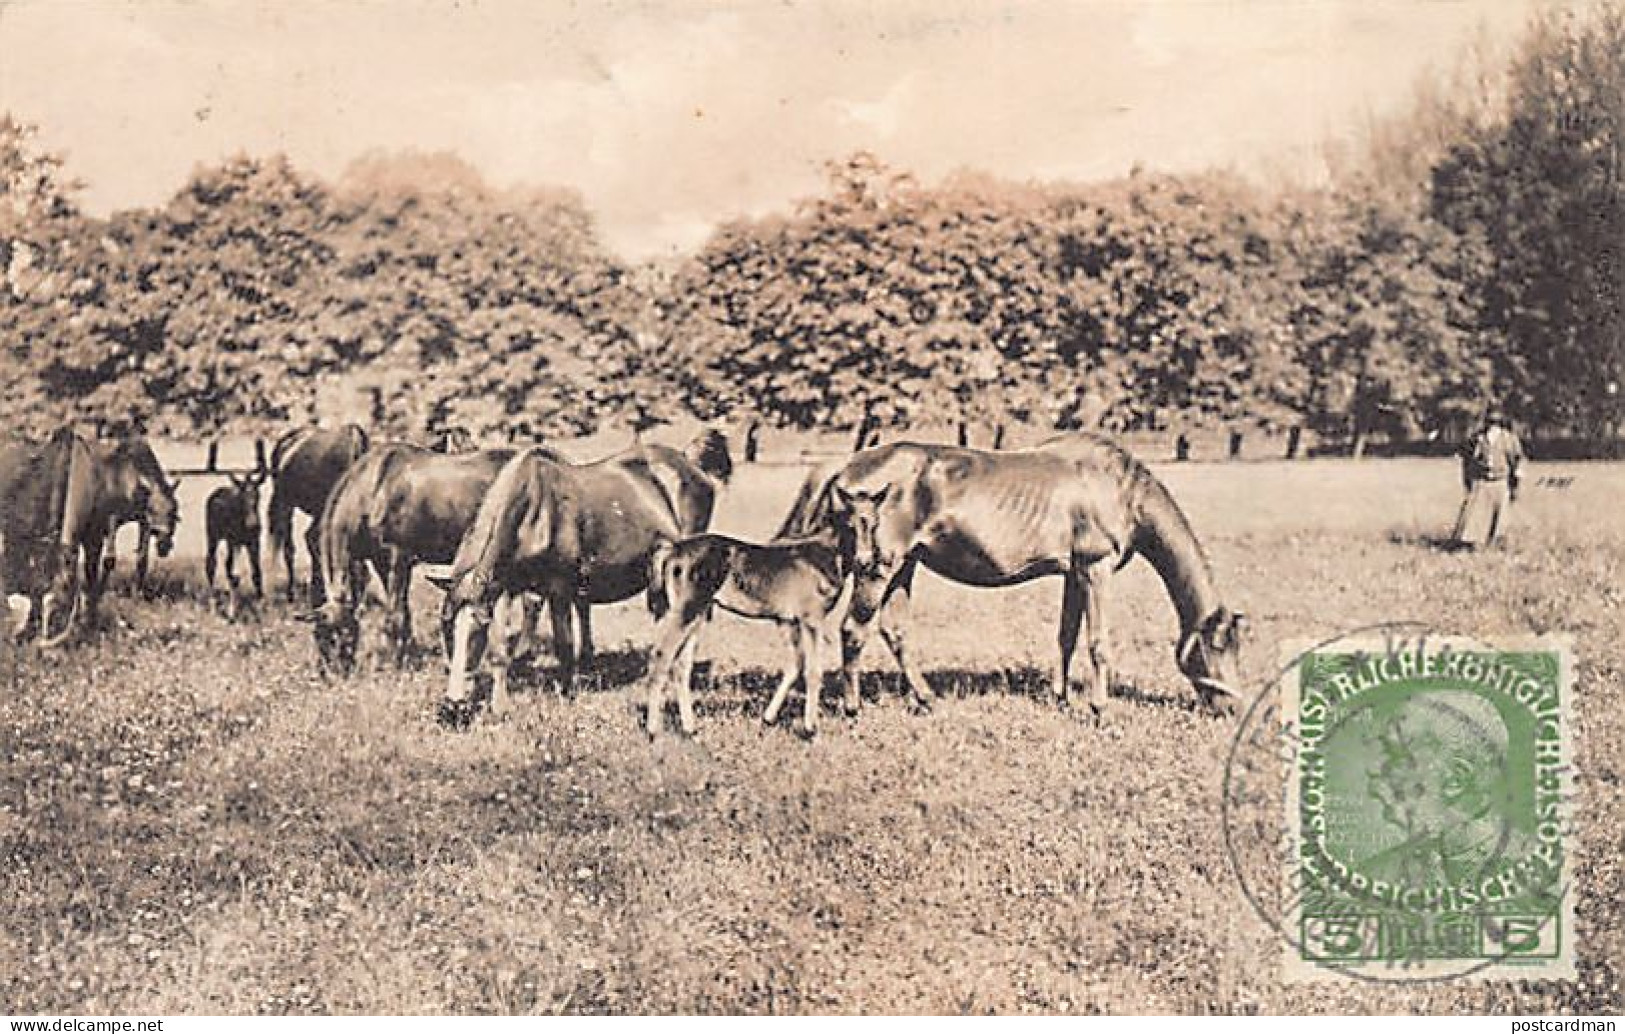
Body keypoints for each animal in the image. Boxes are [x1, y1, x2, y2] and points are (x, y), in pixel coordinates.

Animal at [273, 425, 373, 604]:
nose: (360, 606)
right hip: (287, 503)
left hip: (315, 512)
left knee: (309, 539)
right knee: (290, 548)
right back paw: (293, 593)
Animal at [303, 445, 507, 679]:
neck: (372, 491)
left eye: (345, 635)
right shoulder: (379, 563)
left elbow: (396, 615)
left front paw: (396, 667)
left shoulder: (398, 559)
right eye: (319, 636)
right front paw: (408, 658)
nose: (334, 675)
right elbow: (404, 614)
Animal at [438, 432, 731, 721]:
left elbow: (564, 646)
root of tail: (690, 461)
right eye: (446, 629)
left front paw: (567, 696)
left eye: (475, 632)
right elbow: (499, 651)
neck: (535, 512)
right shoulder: (504, 588)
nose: (453, 701)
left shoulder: (559, 590)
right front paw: (500, 708)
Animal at [640, 490, 884, 734]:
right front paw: (810, 728)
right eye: (851, 526)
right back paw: (653, 730)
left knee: (681, 665)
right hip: (686, 612)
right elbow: (813, 670)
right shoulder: (811, 619)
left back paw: (689, 728)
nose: (865, 561)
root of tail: (673, 549)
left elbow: (795, 665)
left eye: (875, 525)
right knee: (661, 656)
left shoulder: (786, 621)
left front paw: (767, 718)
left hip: (696, 614)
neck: (821, 556)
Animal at [773, 432, 1241, 715]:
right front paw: (1099, 710)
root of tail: (846, 466)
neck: (1117, 488)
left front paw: (1061, 699)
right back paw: (853, 708)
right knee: (854, 631)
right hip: (879, 568)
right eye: (1218, 648)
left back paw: (926, 698)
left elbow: (1066, 637)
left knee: (894, 631)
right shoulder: (1096, 569)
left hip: (903, 567)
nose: (1233, 707)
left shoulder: (1074, 575)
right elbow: (1098, 644)